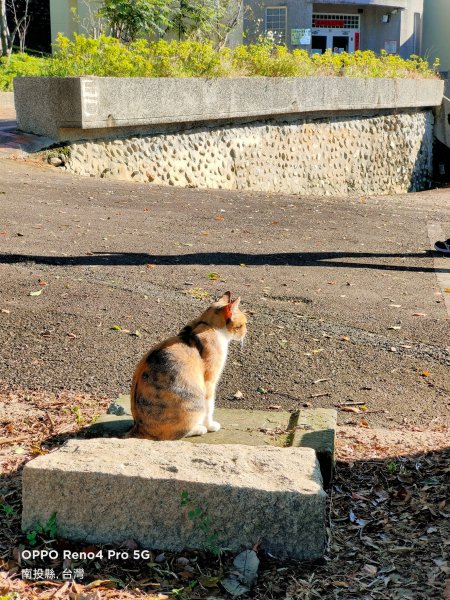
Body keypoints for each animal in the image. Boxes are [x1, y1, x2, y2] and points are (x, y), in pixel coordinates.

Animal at [128, 292, 248, 440]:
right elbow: (210, 407)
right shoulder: (209, 381)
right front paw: (211, 426)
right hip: (194, 400)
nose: (246, 332)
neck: (208, 324)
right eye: (243, 324)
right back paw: (200, 428)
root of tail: (138, 428)